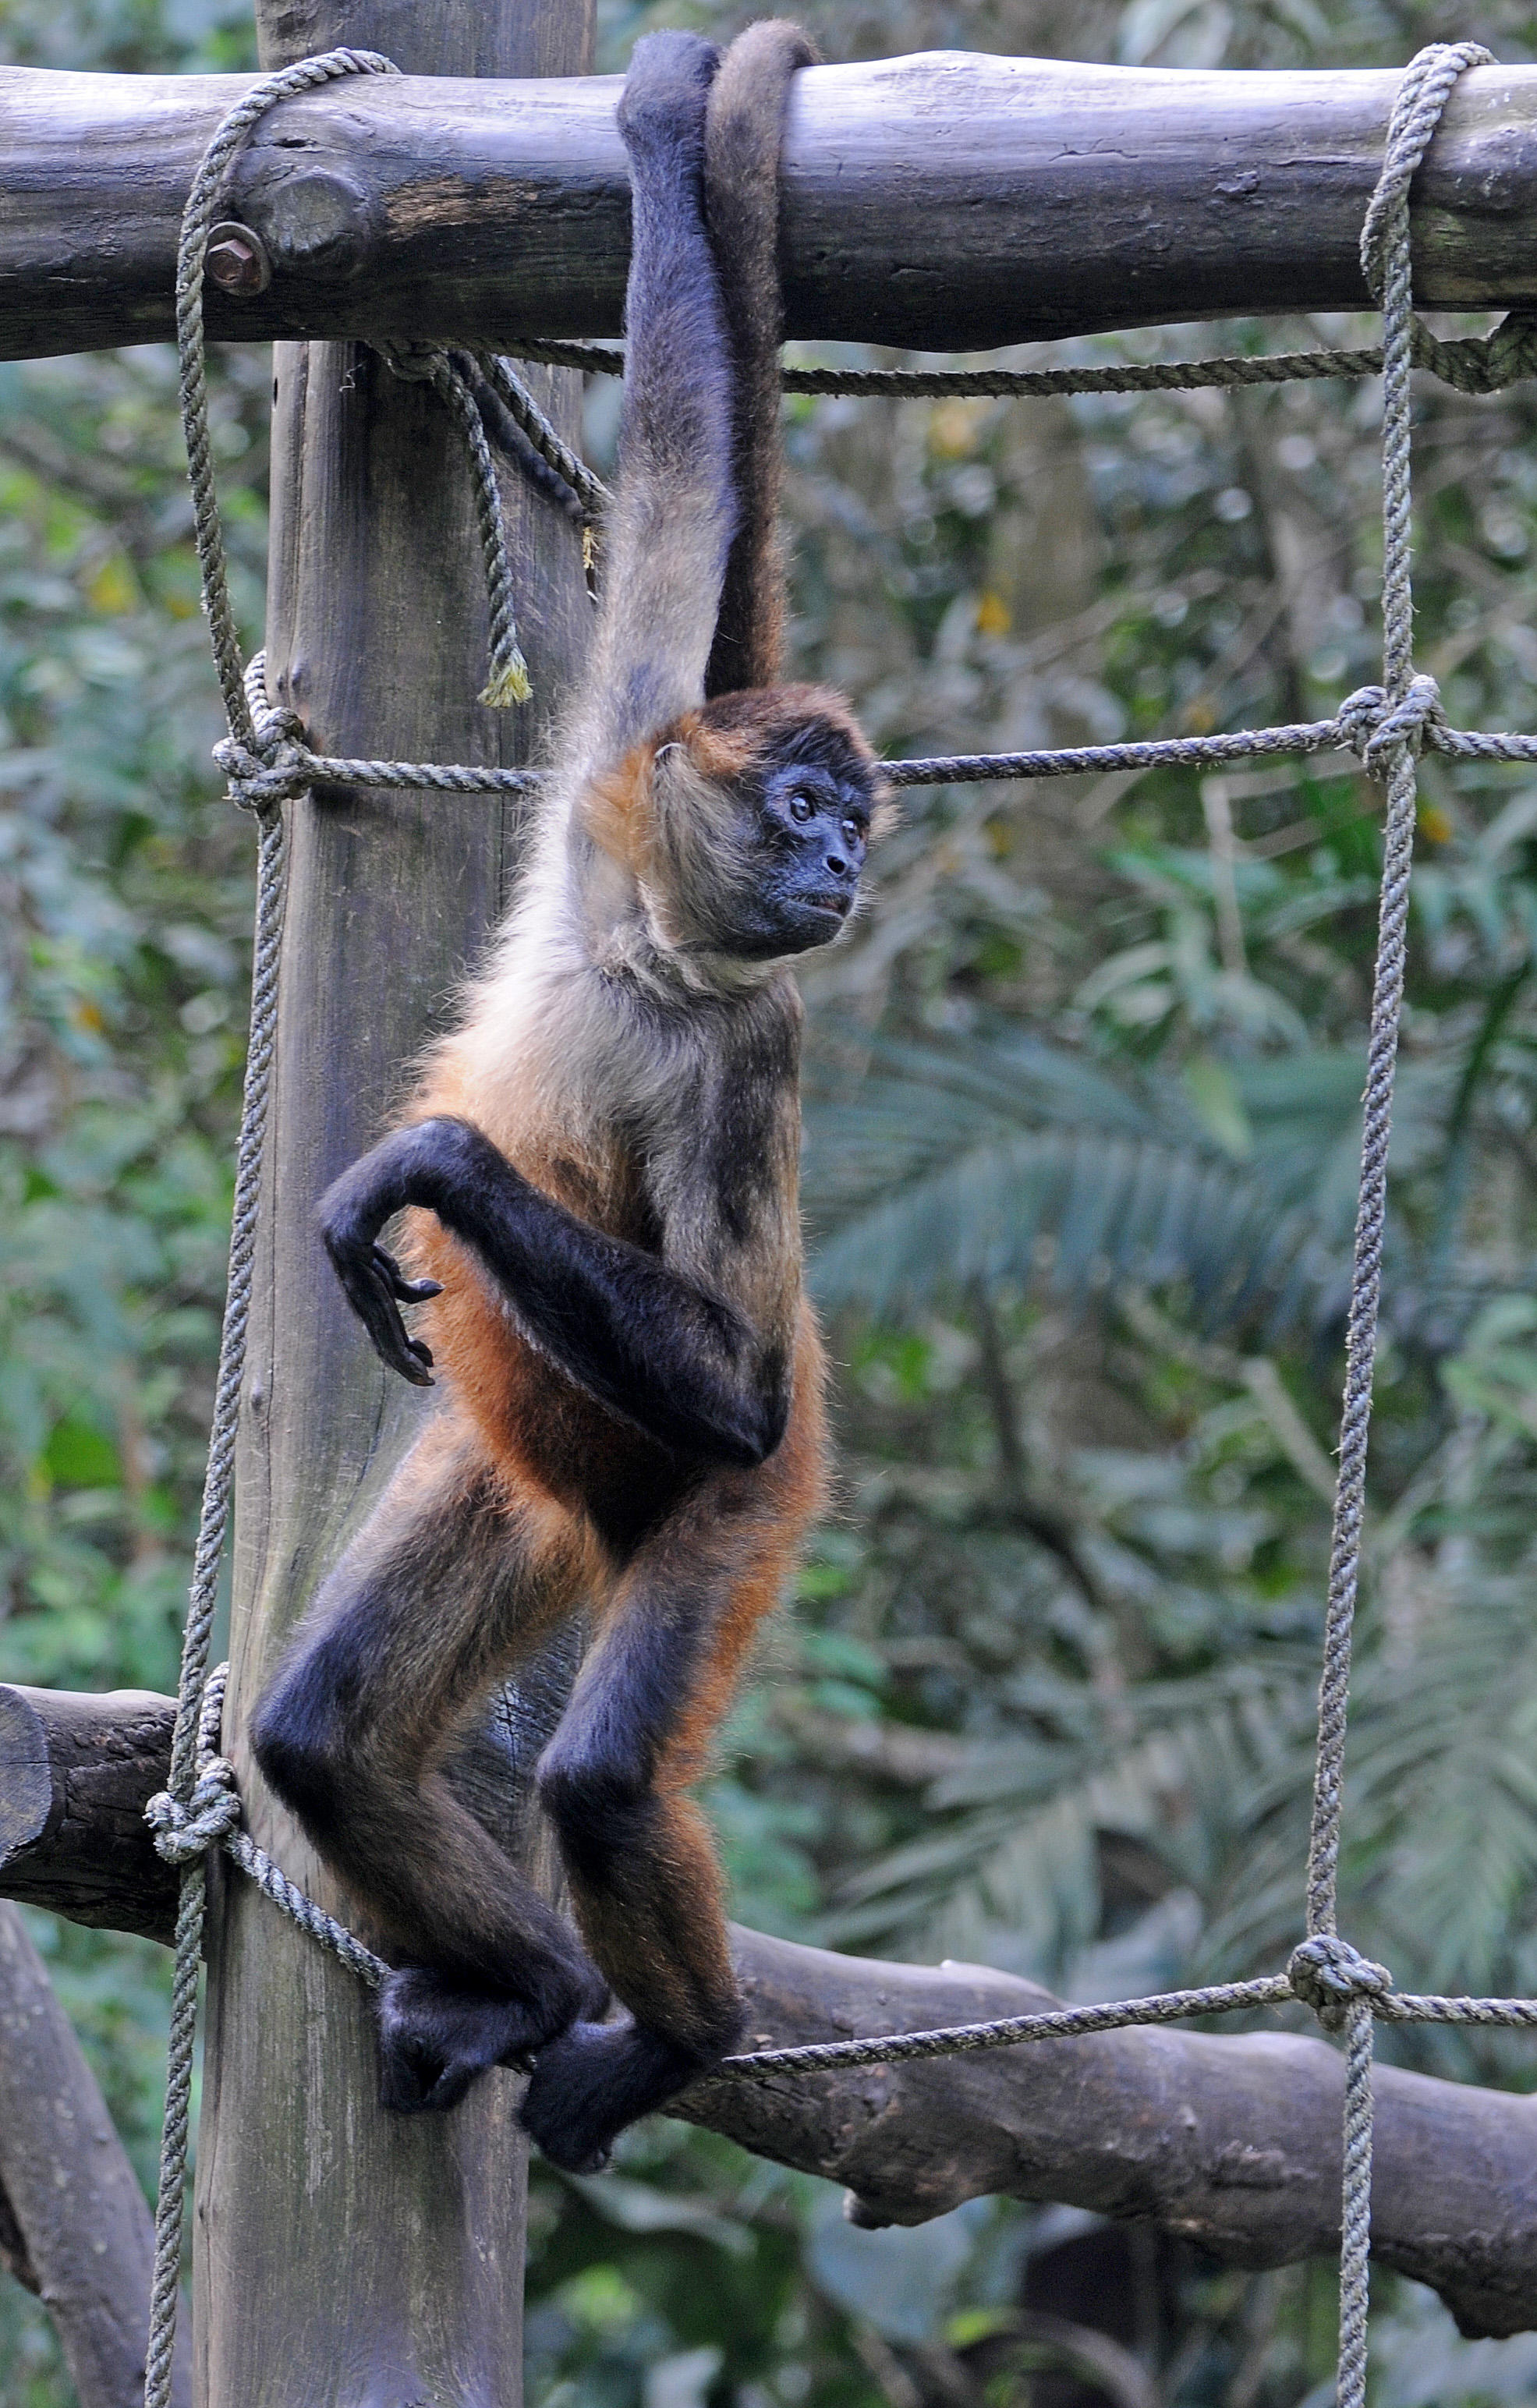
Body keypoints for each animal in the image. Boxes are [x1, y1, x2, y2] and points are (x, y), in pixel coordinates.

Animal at [248, 14, 886, 2186]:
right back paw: (520, 1982)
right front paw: (664, 112)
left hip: (723, 1511)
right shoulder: (618, 751)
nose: (843, 866)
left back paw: (673, 2029)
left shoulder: (759, 1054)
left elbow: (727, 1365)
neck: (645, 961)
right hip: (518, 1474)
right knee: (319, 1733)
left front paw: (431, 1161)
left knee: (610, 1770)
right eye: (807, 803)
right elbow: (686, 483)